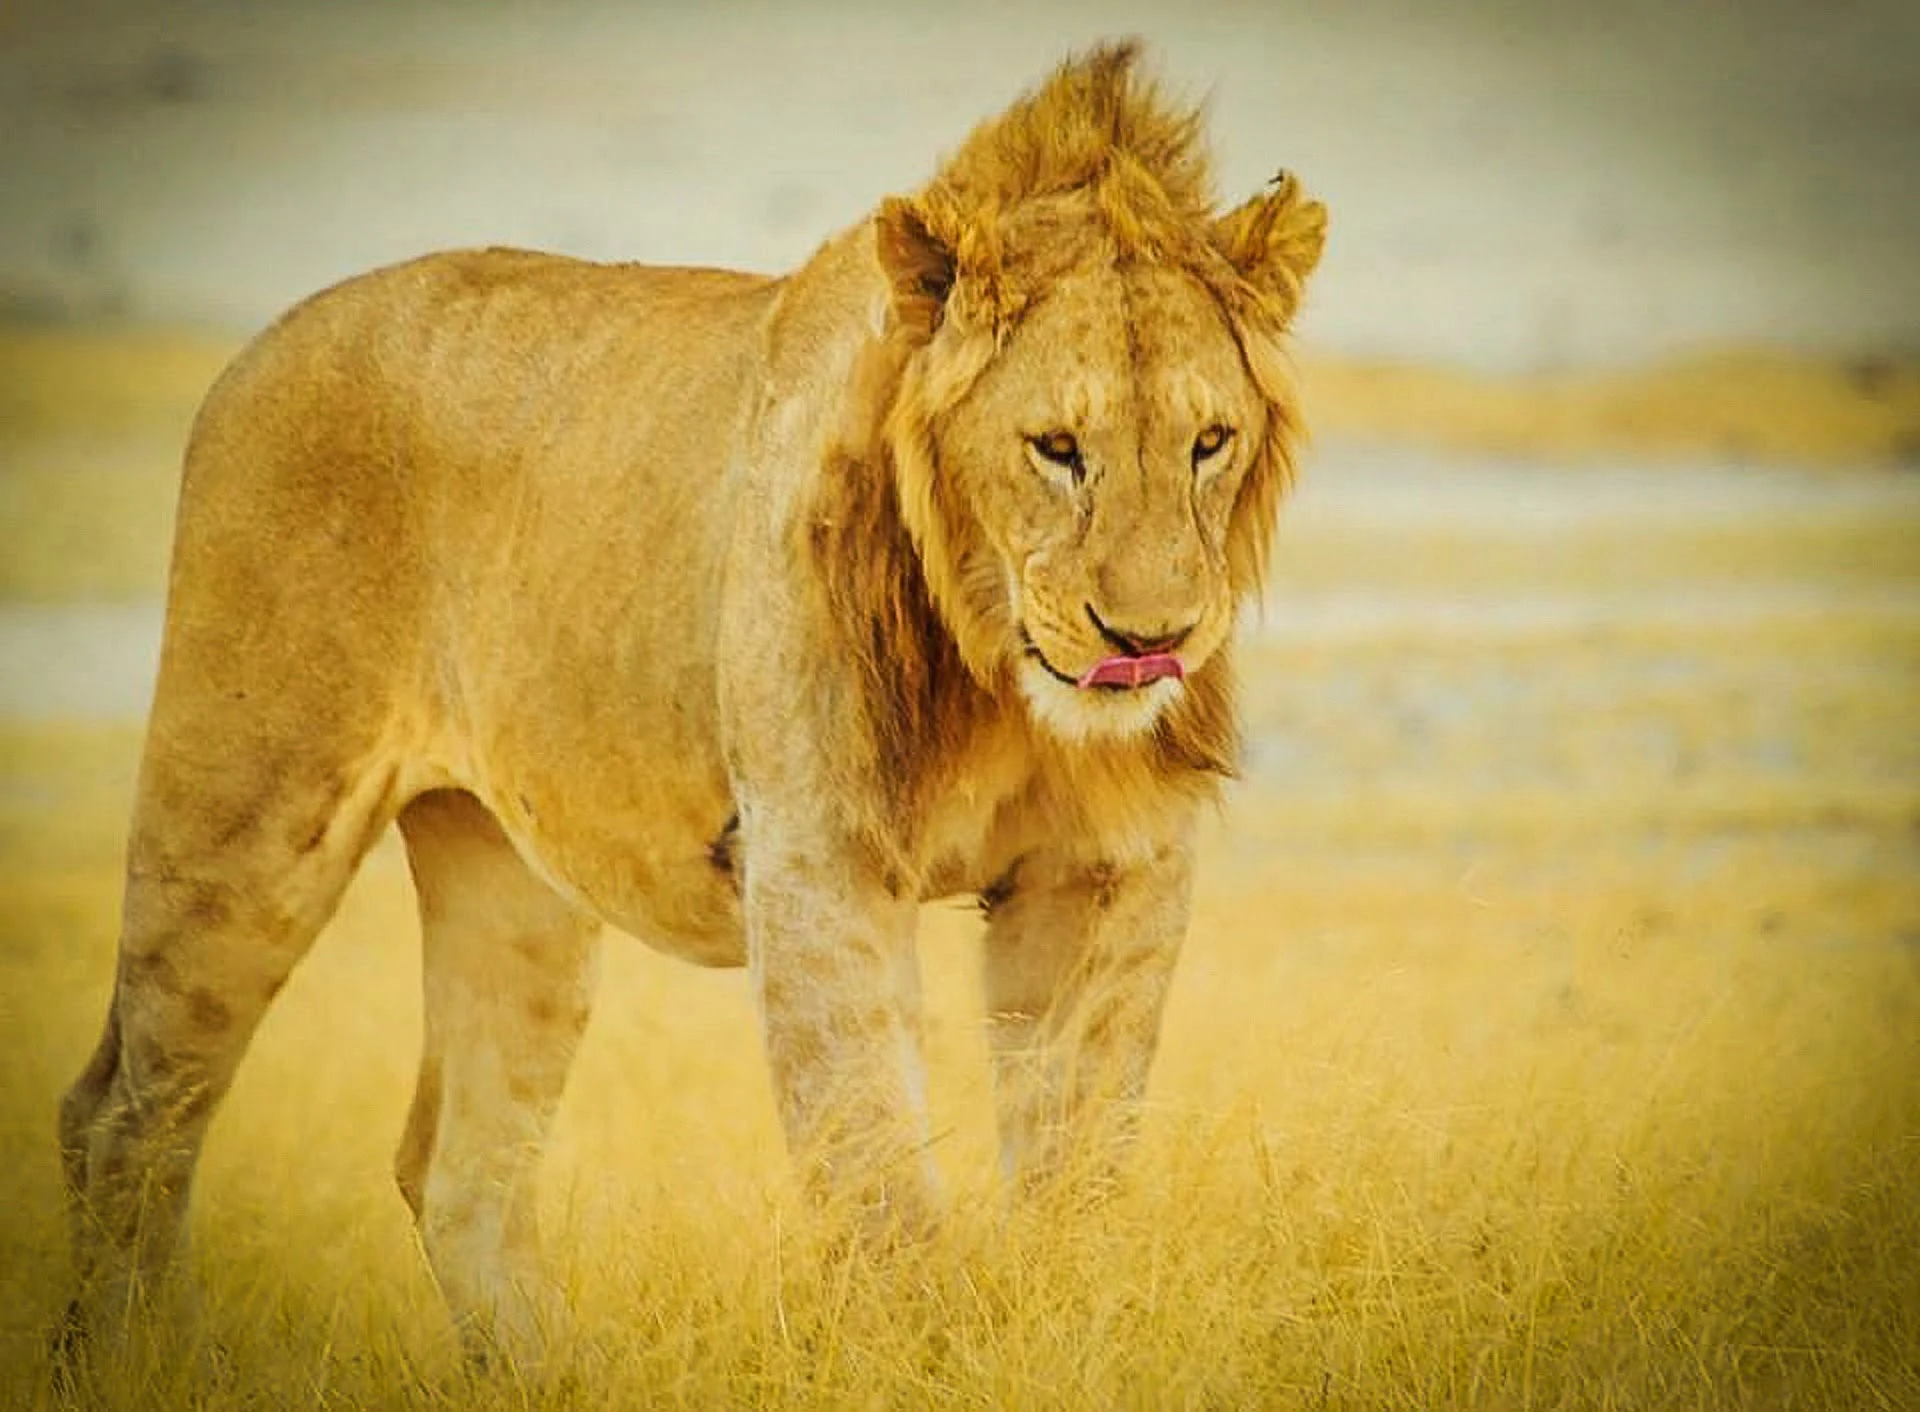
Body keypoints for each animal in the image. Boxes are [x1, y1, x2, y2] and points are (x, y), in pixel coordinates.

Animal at [57, 41, 1324, 1364]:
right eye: (1057, 447)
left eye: (1209, 441)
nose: (1151, 640)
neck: (1002, 681)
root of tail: (256, 344)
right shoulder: (818, 860)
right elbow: (874, 1161)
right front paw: (922, 1355)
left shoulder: (1108, 870)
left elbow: (1078, 1155)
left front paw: (1065, 1329)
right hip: (246, 815)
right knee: (126, 1111)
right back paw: (148, 1359)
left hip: (511, 883)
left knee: (456, 1164)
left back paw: (548, 1375)